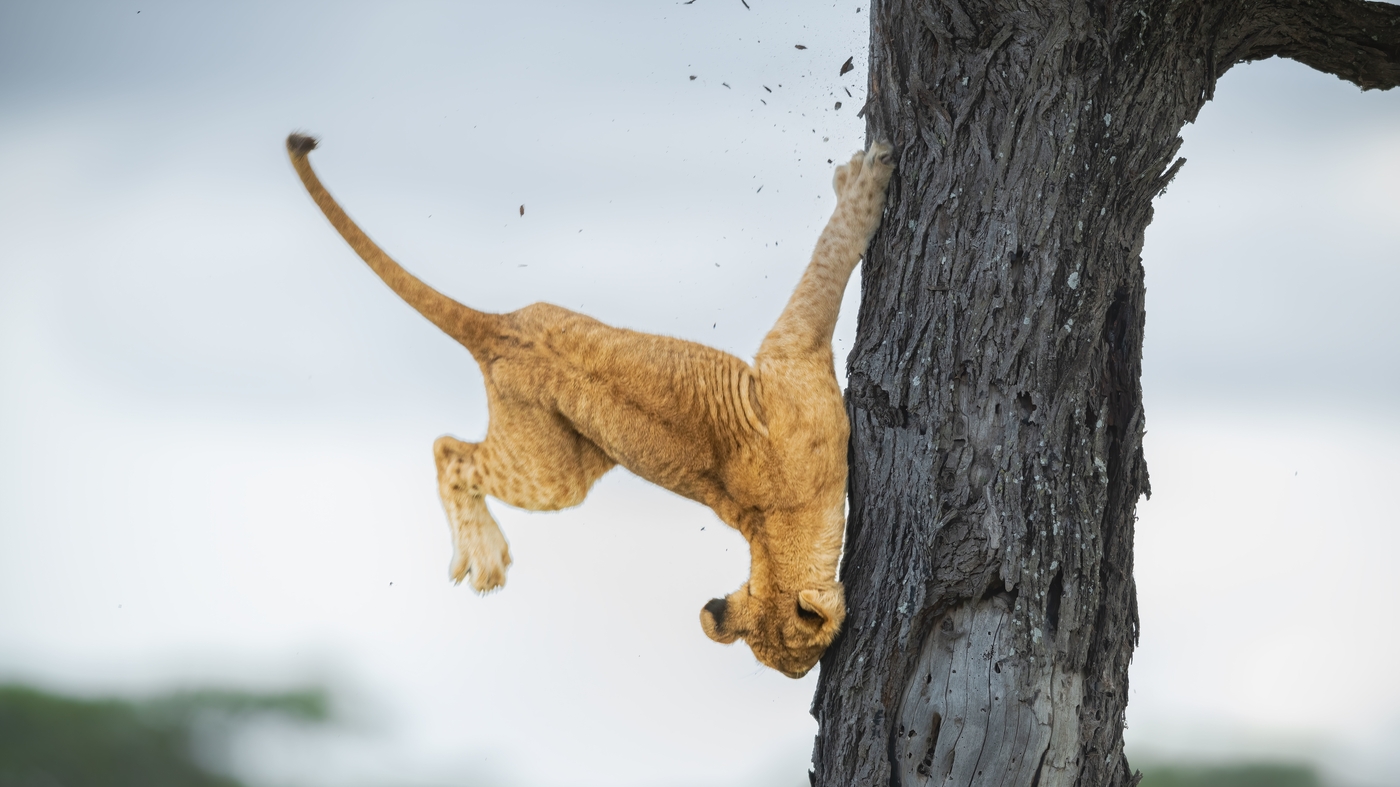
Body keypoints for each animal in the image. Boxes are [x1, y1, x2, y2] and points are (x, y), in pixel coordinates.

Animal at [287, 133, 893, 677]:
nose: (802, 684)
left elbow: (825, 263)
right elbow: (827, 264)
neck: (770, 535)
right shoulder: (791, 354)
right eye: (803, 663)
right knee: (448, 451)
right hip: (553, 477)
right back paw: (483, 557)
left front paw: (853, 177)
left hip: (586, 441)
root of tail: (494, 329)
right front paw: (864, 182)